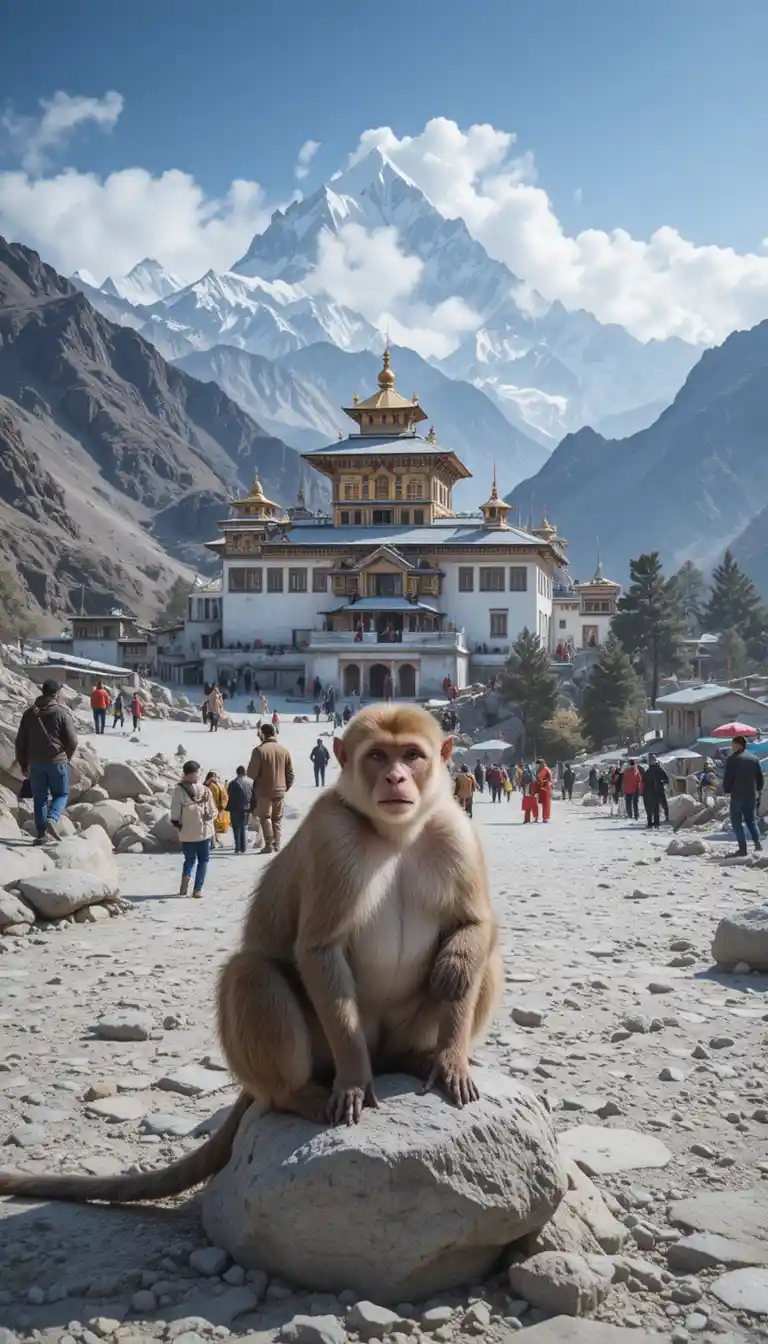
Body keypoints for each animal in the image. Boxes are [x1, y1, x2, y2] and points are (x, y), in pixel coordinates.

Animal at [0, 704, 502, 1203]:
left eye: (411, 755)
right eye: (378, 756)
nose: (395, 778)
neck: (395, 834)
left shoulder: (454, 831)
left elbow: (472, 929)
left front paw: (451, 1050)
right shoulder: (333, 839)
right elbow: (319, 949)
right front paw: (355, 1081)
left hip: (400, 1034)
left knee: (488, 959)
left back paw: (418, 1056)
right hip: (320, 1053)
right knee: (251, 973)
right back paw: (296, 1094)